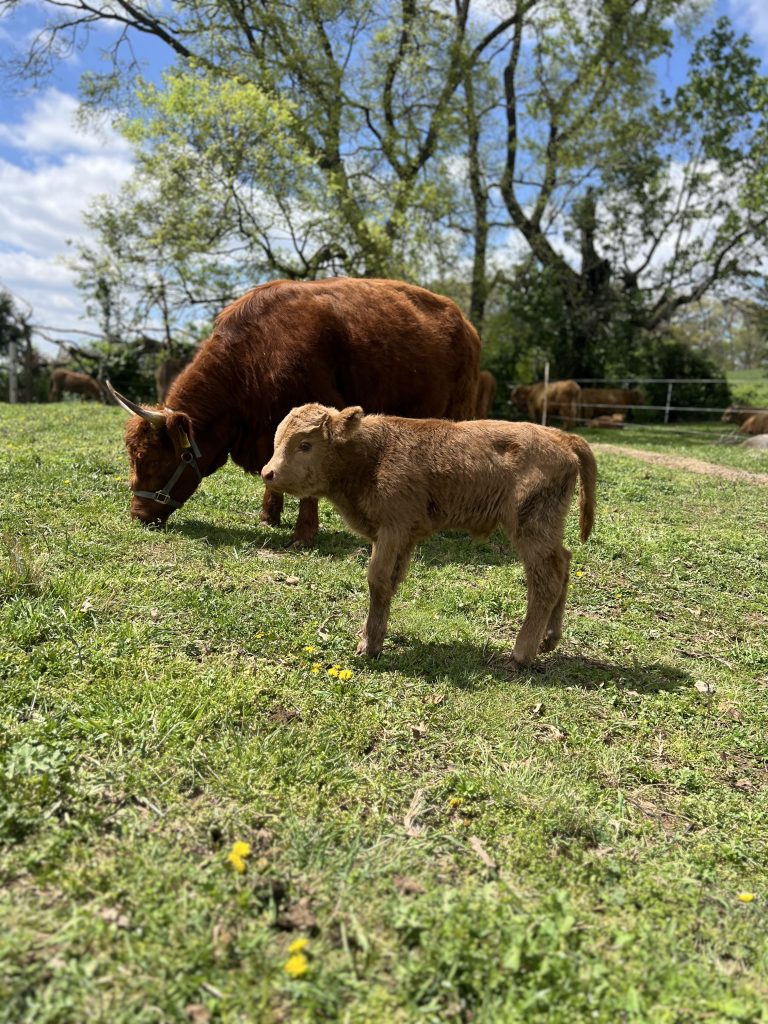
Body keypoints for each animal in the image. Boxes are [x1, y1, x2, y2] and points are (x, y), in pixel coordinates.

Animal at [107, 278, 481, 545]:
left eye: (152, 461)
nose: (138, 515)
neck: (255, 357)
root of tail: (464, 322)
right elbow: (270, 469)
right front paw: (269, 516)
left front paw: (303, 534)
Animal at [261, 403, 596, 666]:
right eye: (277, 438)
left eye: (306, 444)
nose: (268, 473)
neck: (371, 454)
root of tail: (560, 437)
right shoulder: (400, 538)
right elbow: (391, 582)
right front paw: (374, 637)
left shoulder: (392, 530)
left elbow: (377, 580)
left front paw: (368, 647)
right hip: (547, 530)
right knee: (564, 563)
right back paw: (548, 640)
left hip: (530, 530)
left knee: (545, 581)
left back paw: (520, 655)